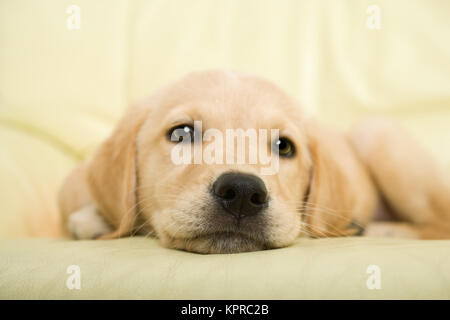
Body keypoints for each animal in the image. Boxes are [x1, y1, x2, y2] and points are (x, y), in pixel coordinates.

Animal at [58, 70, 450, 252]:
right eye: (181, 134)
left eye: (284, 146)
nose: (243, 193)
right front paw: (95, 219)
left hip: (376, 131)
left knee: (439, 223)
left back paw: (379, 229)